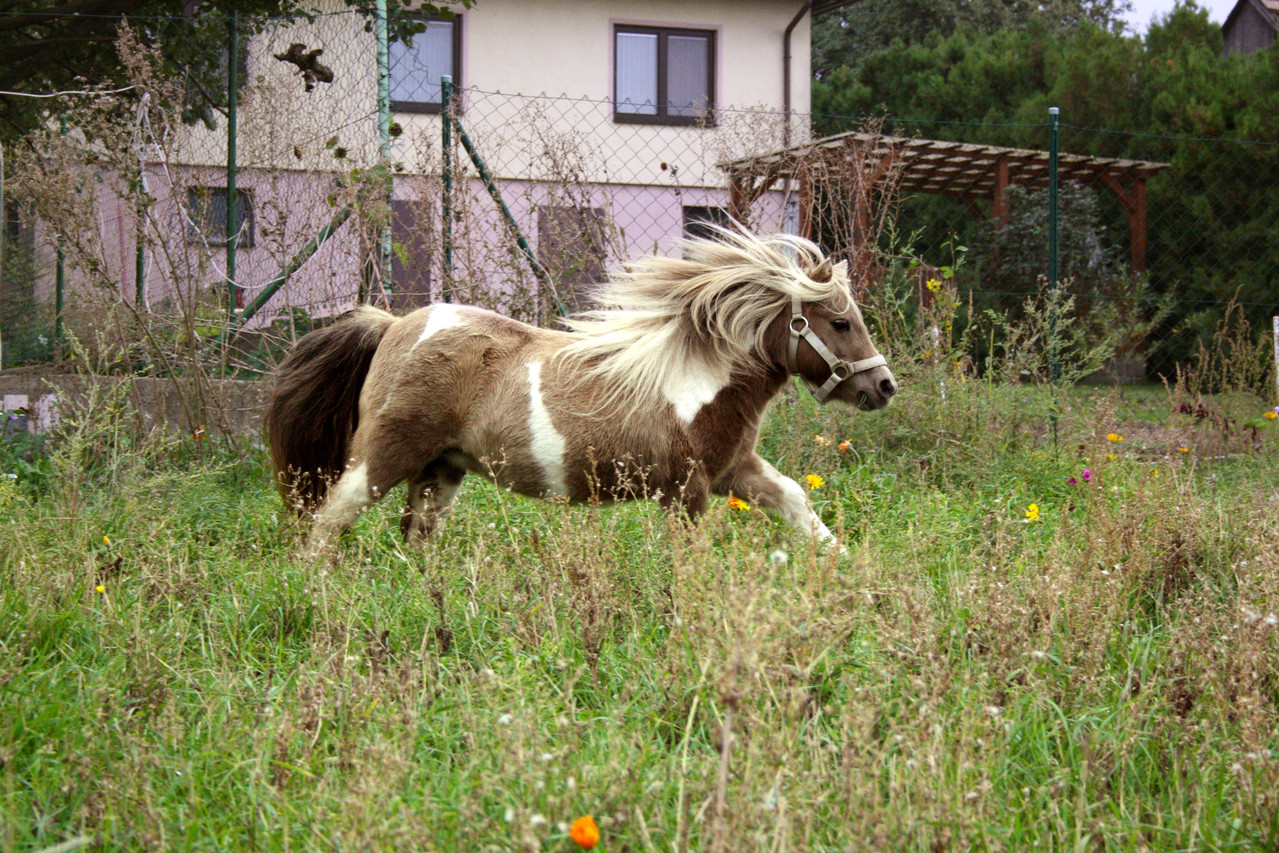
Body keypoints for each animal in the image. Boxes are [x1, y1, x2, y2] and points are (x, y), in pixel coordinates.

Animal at [264, 228, 895, 560]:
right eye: (840, 322)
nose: (884, 387)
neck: (695, 377)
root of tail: (394, 325)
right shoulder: (686, 488)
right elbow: (689, 555)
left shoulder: (733, 469)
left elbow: (793, 500)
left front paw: (841, 564)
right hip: (387, 454)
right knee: (330, 518)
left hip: (442, 468)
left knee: (416, 535)